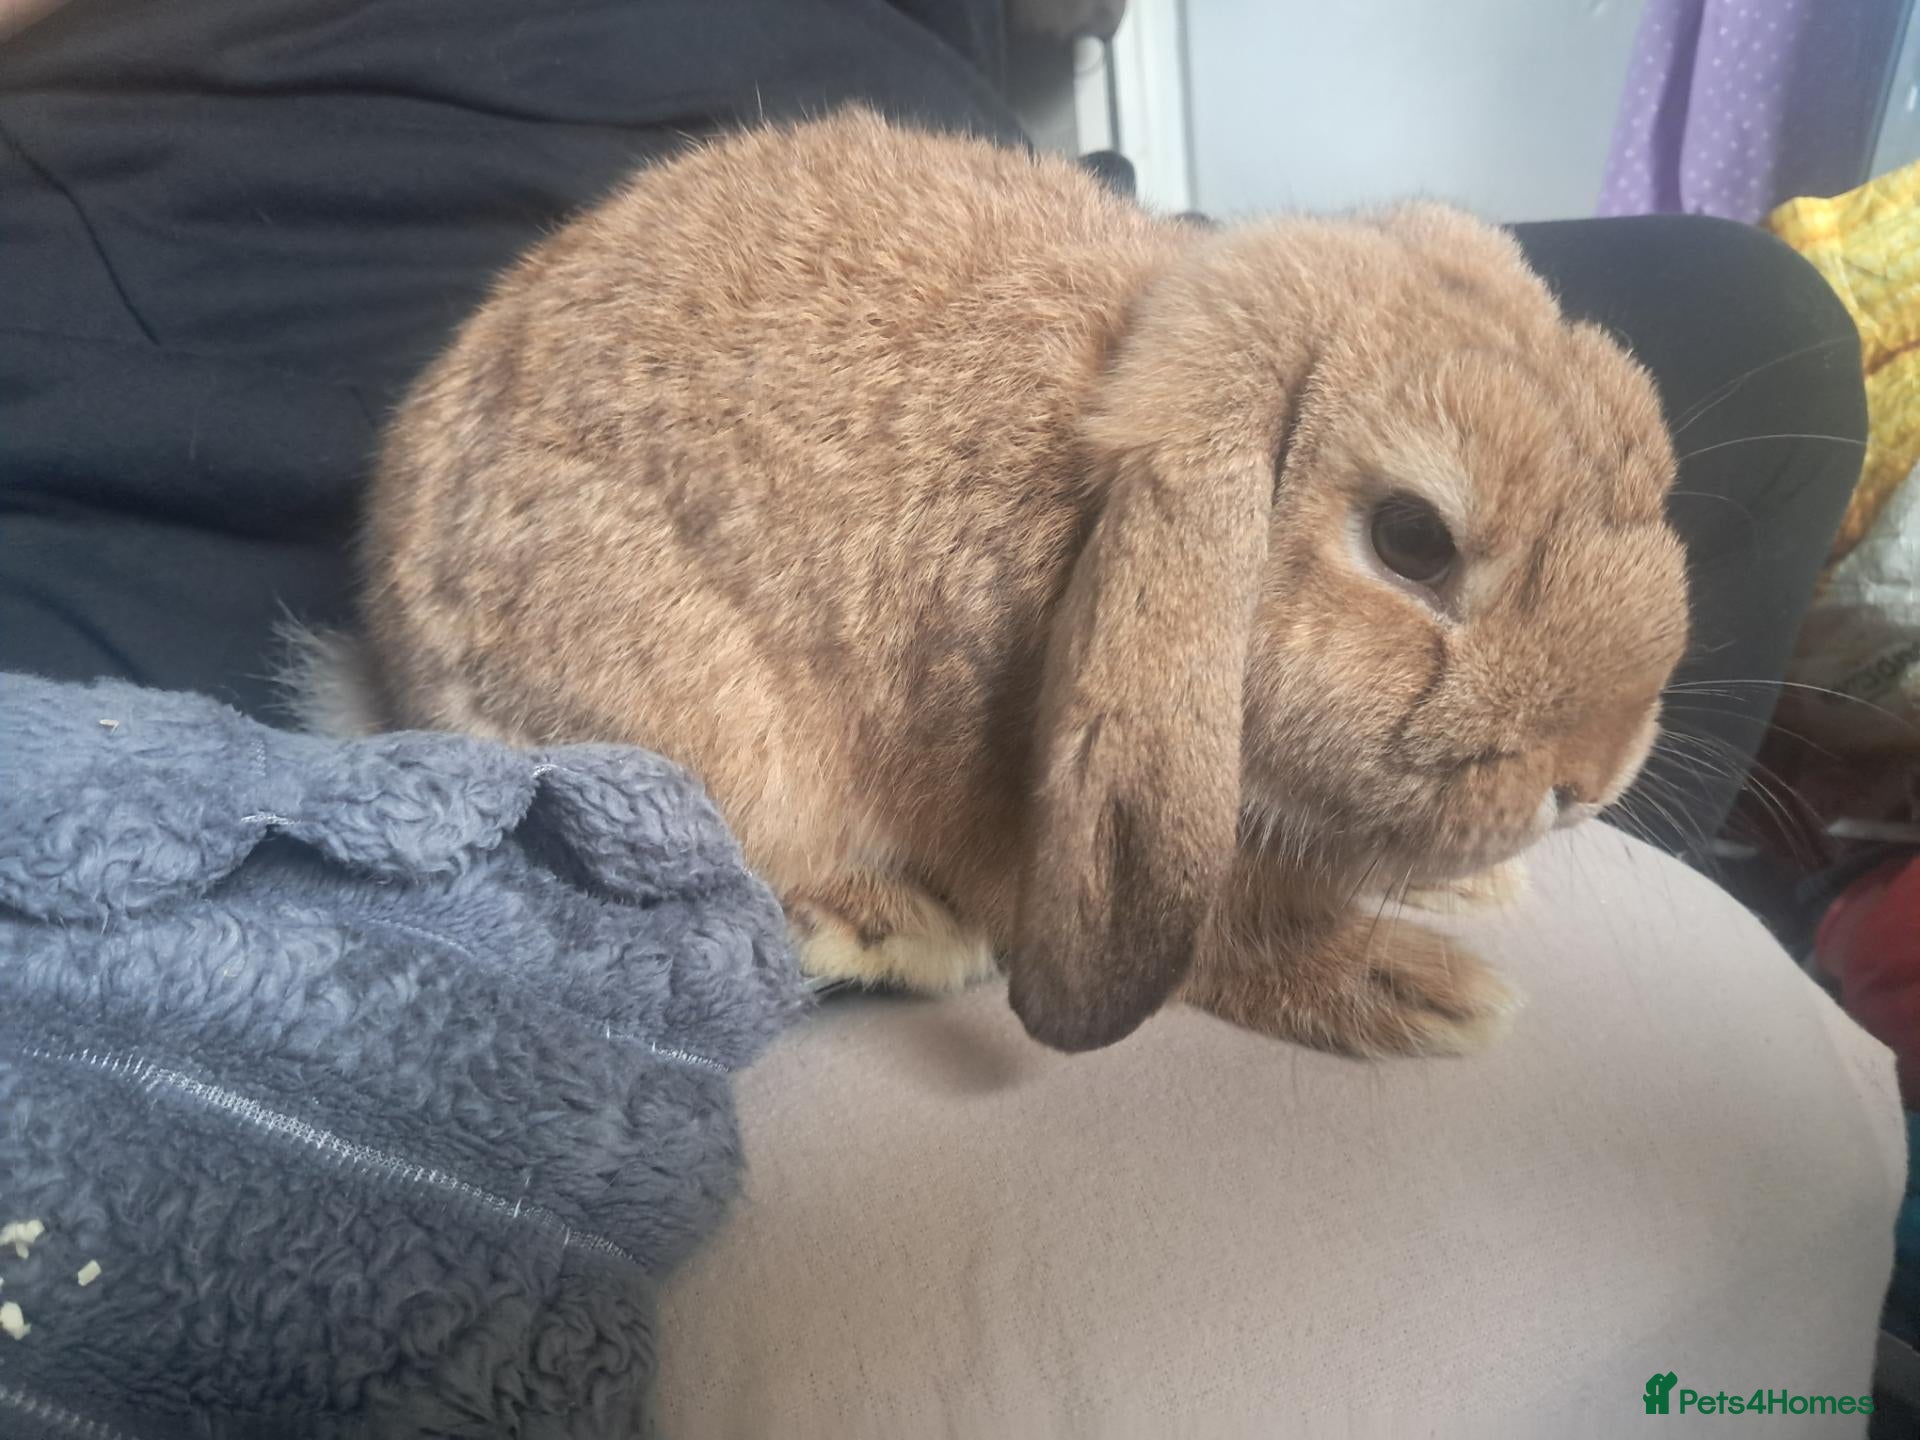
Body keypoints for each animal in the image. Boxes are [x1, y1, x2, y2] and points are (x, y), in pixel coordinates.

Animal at [333, 107, 1689, 1056]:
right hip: (693, 718)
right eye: (1412, 540)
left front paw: (1479, 886)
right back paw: (892, 928)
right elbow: (1206, 937)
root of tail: (378, 662)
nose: (1594, 773)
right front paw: (1419, 992)